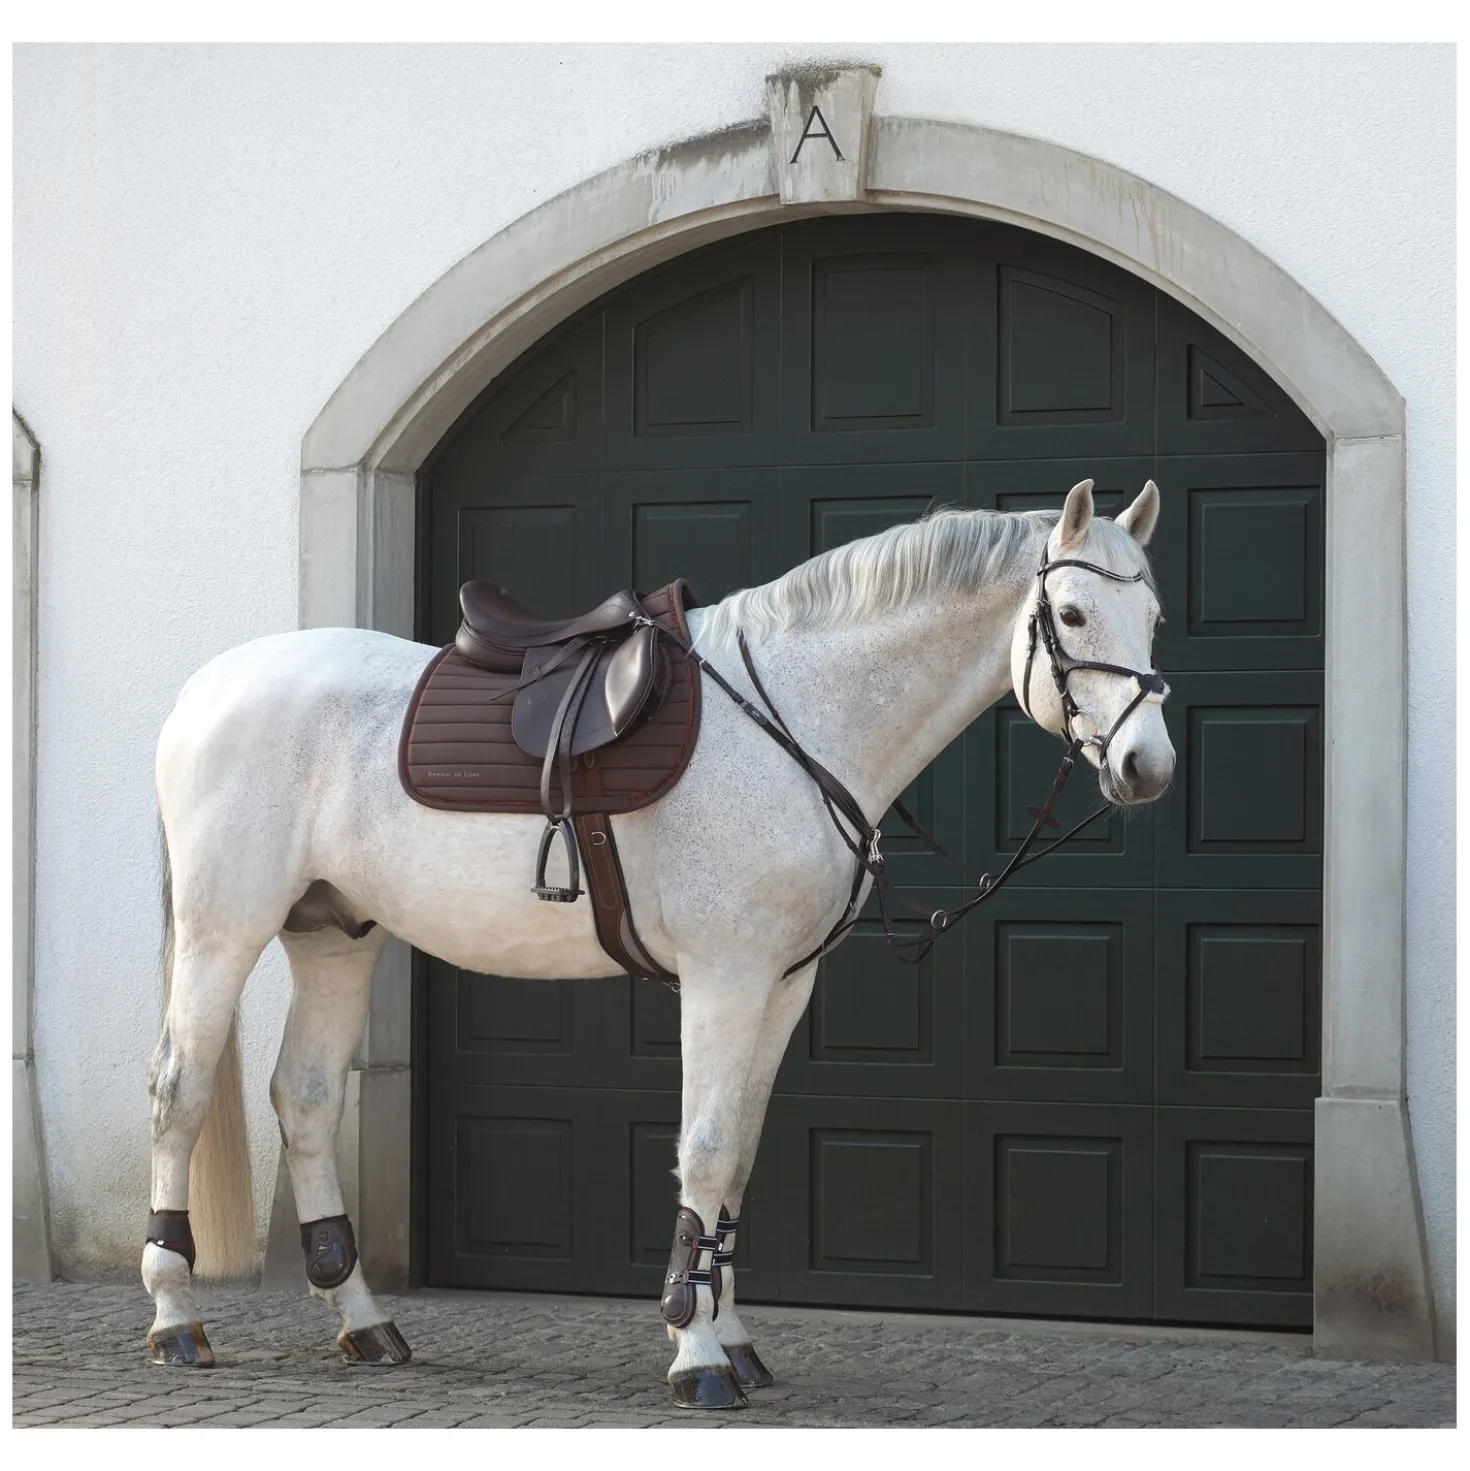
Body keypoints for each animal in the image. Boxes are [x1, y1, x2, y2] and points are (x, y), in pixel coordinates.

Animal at [142, 477, 1173, 1410]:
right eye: (1072, 613)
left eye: (1157, 614)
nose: (1146, 766)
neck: (797, 718)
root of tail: (203, 689)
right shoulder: (724, 977)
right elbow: (706, 1150)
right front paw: (697, 1353)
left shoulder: (784, 985)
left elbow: (741, 1157)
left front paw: (733, 1337)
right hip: (226, 930)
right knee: (179, 1094)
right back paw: (176, 1317)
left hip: (336, 935)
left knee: (306, 1099)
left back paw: (365, 1323)